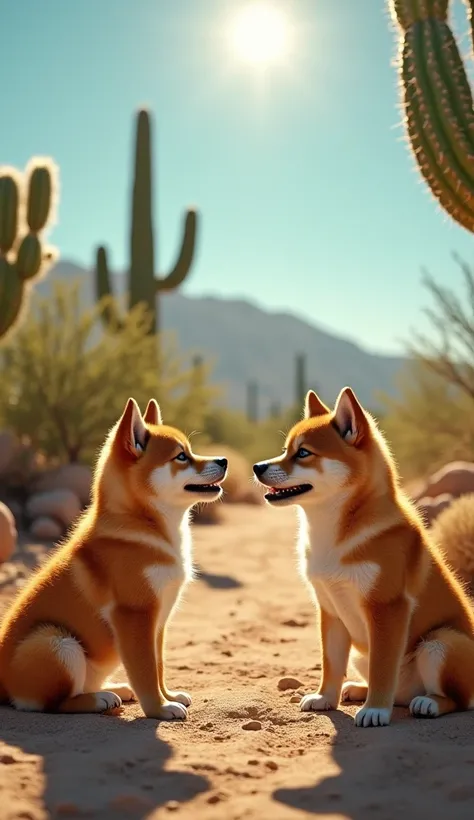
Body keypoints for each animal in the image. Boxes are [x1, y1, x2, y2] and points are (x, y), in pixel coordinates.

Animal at [0, 398, 228, 716]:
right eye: (181, 456)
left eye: (189, 450)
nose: (223, 460)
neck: (146, 527)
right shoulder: (135, 615)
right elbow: (145, 672)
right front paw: (159, 709)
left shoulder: (159, 621)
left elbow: (158, 667)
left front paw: (168, 696)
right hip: (58, 643)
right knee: (55, 704)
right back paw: (98, 699)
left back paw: (113, 689)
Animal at [256, 388, 474, 728]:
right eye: (285, 450)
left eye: (303, 453)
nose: (258, 467)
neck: (335, 538)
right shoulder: (329, 609)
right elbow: (331, 664)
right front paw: (325, 698)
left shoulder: (387, 608)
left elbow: (382, 669)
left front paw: (375, 710)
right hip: (365, 653)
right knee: (396, 691)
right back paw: (360, 689)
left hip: (438, 643)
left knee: (457, 700)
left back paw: (428, 703)